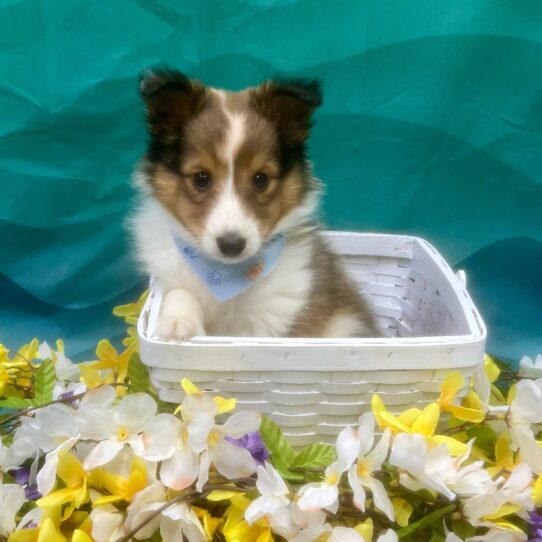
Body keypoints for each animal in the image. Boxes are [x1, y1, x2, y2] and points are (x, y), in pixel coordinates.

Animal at [131, 68, 378, 340]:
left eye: (261, 179)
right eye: (201, 178)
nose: (231, 245)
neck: (224, 275)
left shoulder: (273, 319)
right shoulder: (171, 277)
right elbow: (180, 292)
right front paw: (177, 323)